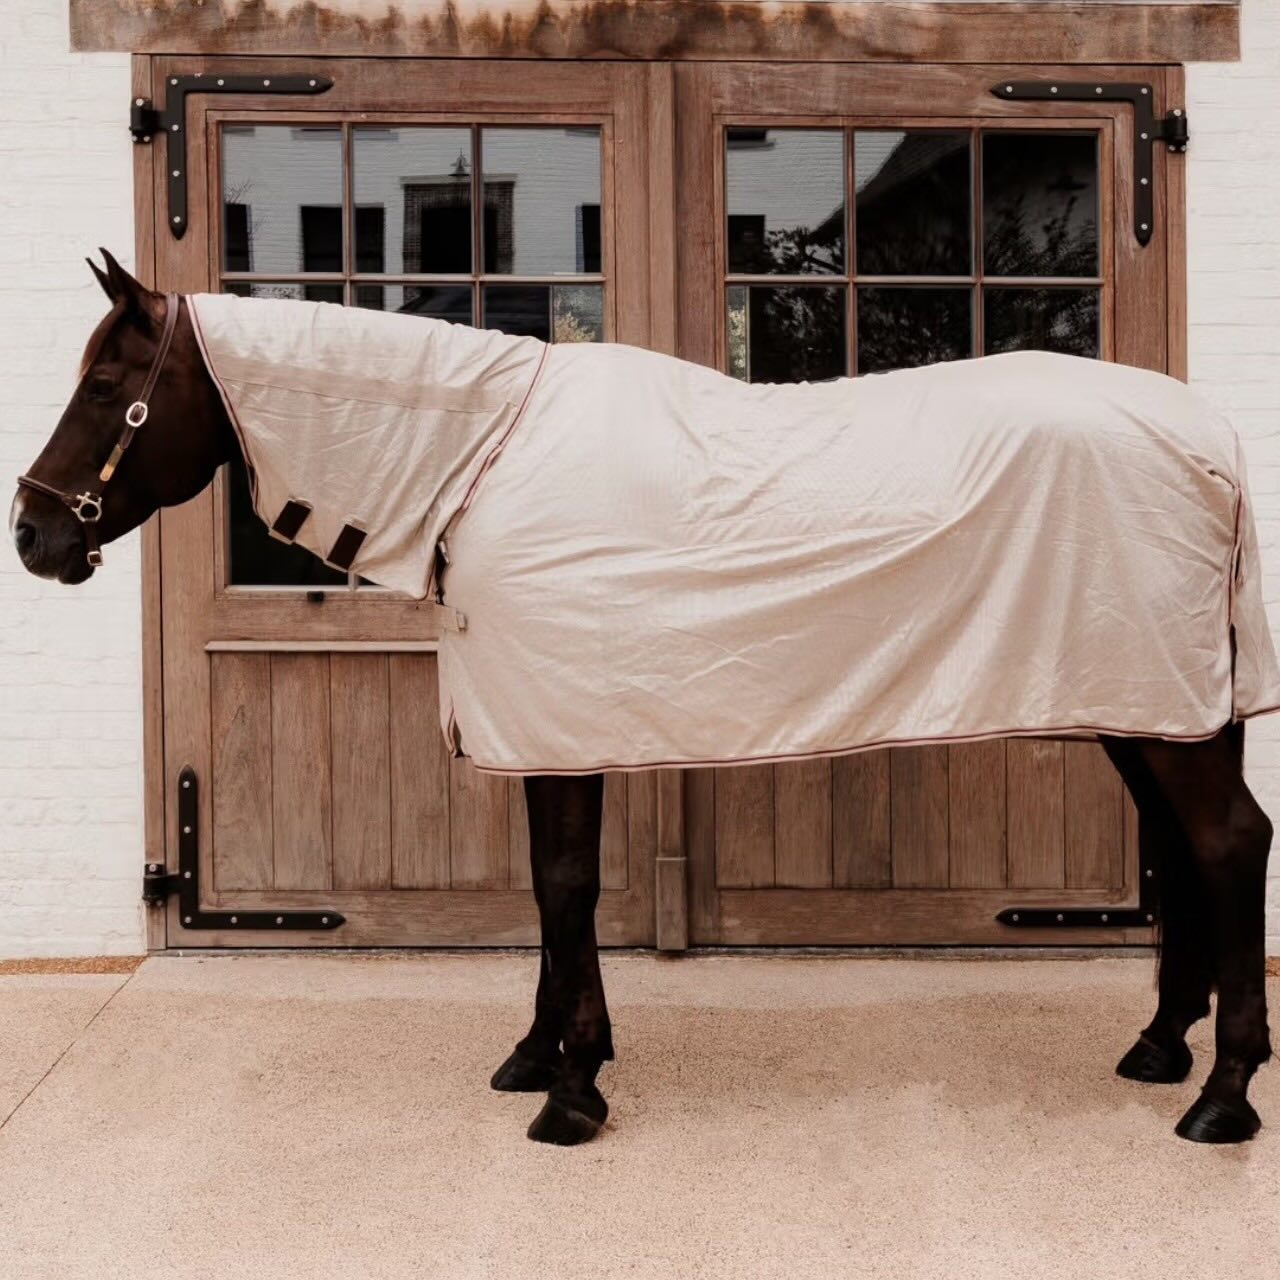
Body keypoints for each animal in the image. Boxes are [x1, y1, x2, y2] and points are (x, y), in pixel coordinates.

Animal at [11, 250, 1273, 1146]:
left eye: (110, 384)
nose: (31, 534)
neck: (481, 464)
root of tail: (1208, 440)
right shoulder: (540, 725)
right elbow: (544, 886)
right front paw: (542, 1053)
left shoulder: (560, 729)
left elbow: (566, 885)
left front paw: (570, 1087)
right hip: (1147, 706)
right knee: (1181, 847)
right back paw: (1159, 1045)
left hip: (1163, 711)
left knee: (1226, 840)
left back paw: (1220, 1093)